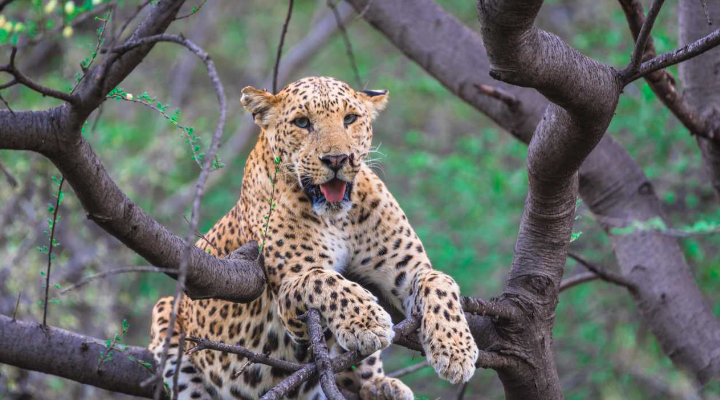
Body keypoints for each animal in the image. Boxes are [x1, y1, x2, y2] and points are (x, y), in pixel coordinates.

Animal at [148, 76, 479, 400]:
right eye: (302, 122)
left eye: (350, 118)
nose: (337, 159)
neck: (339, 219)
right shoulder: (291, 296)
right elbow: (326, 281)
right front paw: (369, 321)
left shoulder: (408, 270)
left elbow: (440, 281)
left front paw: (456, 351)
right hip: (167, 312)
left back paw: (383, 388)